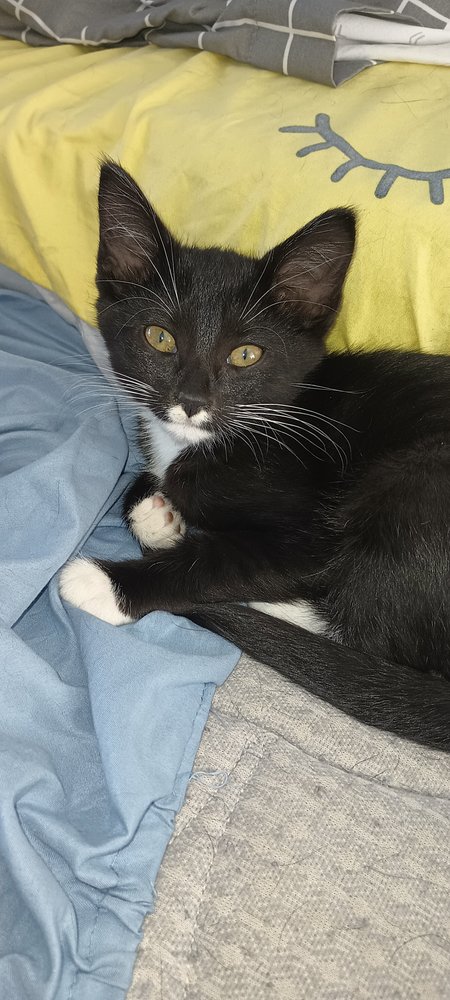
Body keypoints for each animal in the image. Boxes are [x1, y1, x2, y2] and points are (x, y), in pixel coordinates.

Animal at [60, 161, 450, 752]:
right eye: (159, 338)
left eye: (246, 355)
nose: (191, 401)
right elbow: (142, 487)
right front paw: (157, 514)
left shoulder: (309, 531)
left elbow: (224, 564)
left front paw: (107, 582)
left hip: (412, 483)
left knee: (367, 630)